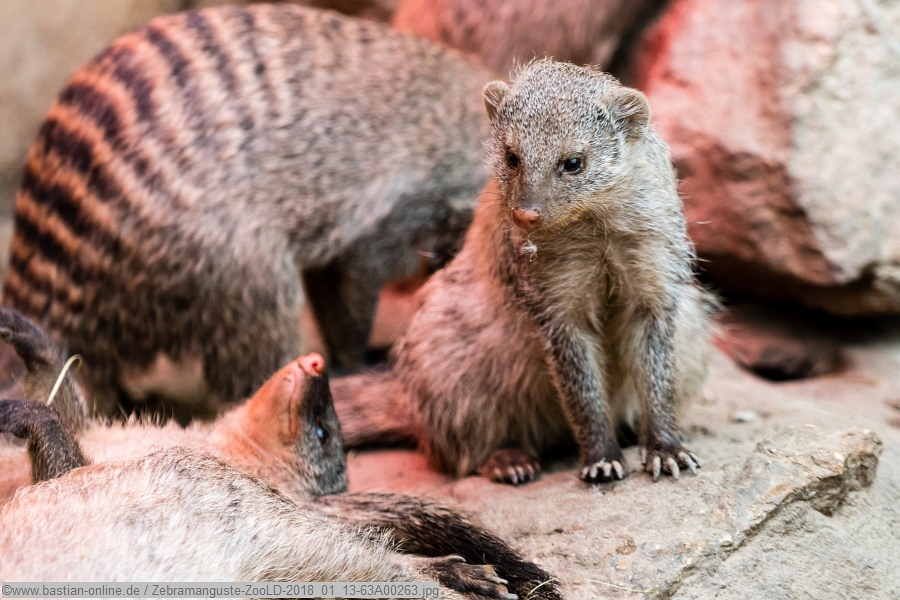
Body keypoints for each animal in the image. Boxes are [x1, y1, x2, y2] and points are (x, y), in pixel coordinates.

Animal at [0, 308, 562, 600]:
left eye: (323, 431)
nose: (316, 362)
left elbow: (58, 446)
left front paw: (27, 415)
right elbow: (63, 398)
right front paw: (26, 332)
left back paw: (462, 573)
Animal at [1, 3, 491, 419]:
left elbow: (328, 281)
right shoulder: (388, 211)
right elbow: (354, 285)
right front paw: (357, 360)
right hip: (219, 253)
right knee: (254, 337)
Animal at [332, 60, 715, 485]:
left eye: (573, 162)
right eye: (512, 156)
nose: (526, 213)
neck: (596, 237)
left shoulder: (656, 270)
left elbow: (658, 373)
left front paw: (666, 450)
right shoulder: (550, 296)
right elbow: (580, 386)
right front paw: (601, 459)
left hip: (693, 324)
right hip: (445, 355)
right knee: (455, 446)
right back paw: (508, 460)